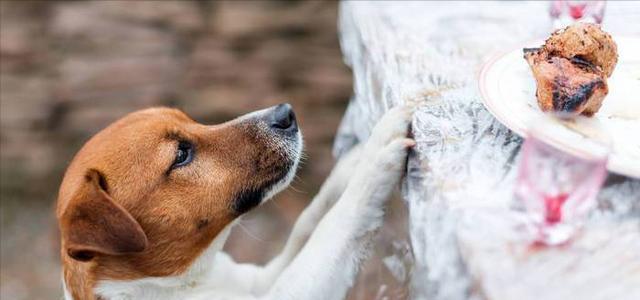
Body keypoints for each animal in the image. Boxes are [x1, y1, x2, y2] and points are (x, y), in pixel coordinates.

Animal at [56, 103, 416, 300]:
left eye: (191, 120)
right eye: (181, 154)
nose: (286, 112)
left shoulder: (258, 280)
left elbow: (308, 223)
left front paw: (351, 163)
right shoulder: (292, 291)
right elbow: (335, 226)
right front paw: (375, 158)